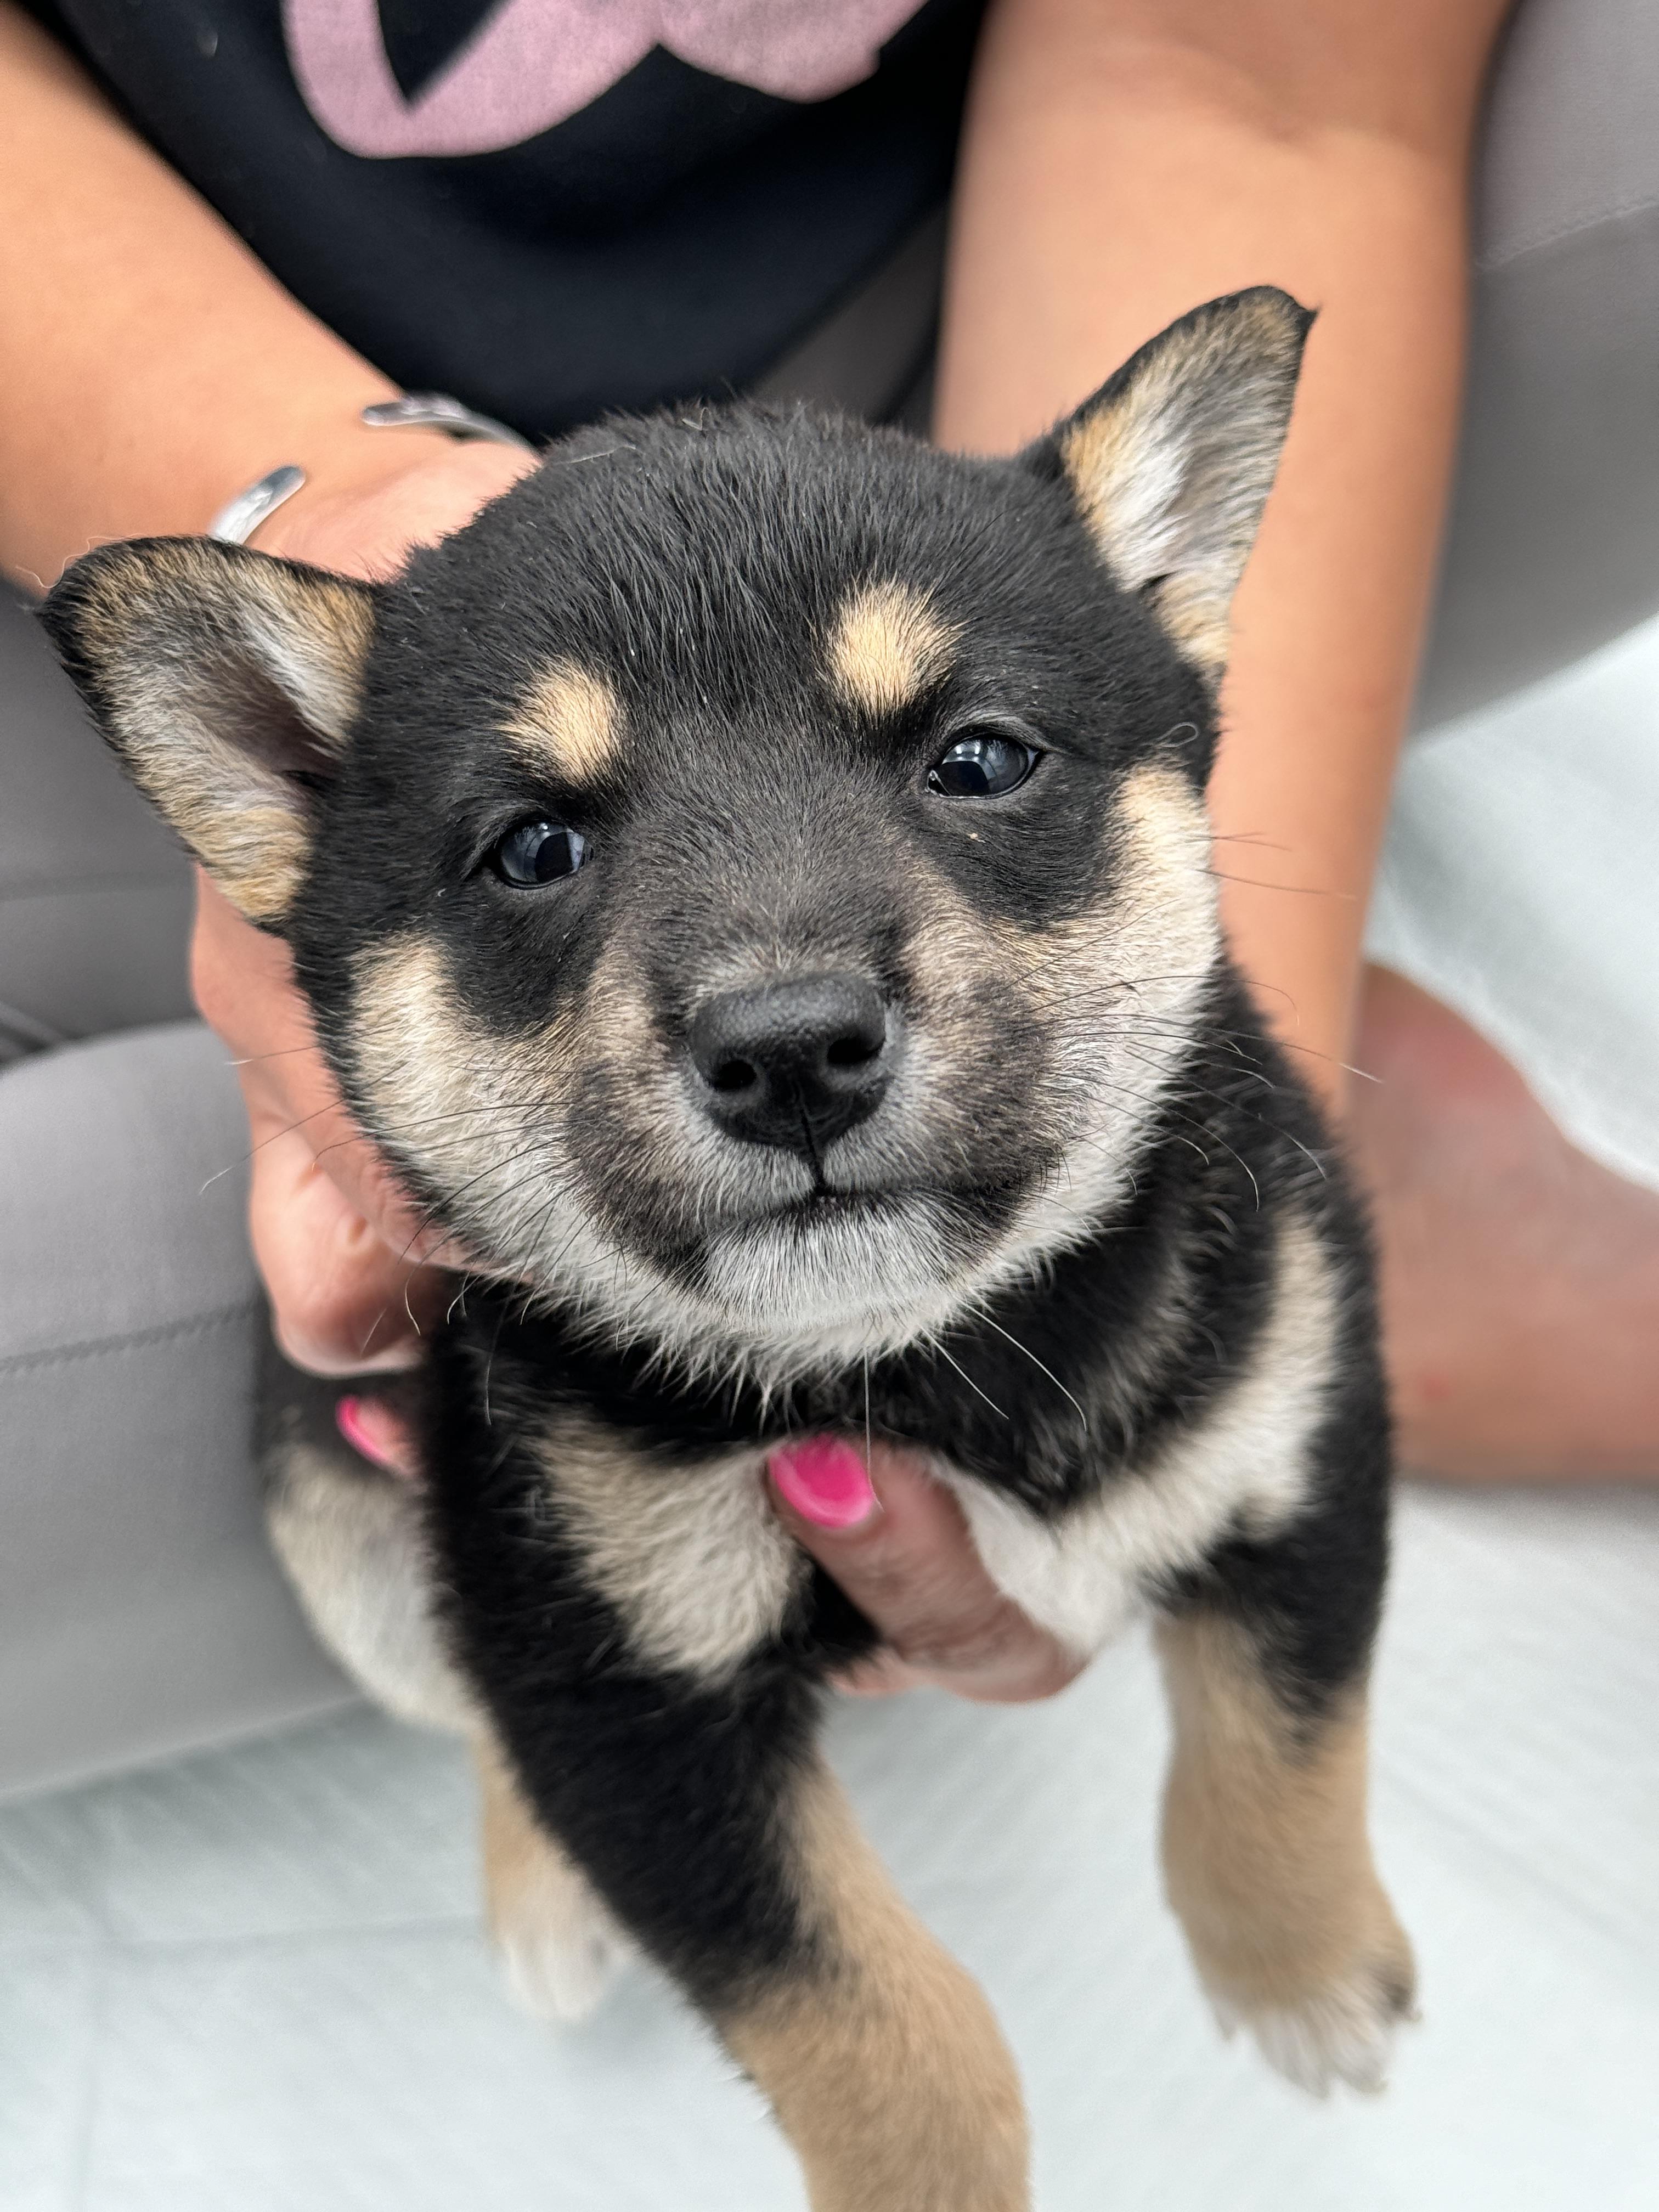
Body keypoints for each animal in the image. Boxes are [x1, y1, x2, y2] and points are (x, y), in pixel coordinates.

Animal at [42, 287, 1415, 2211]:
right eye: (534, 848)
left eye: (979, 757)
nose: (789, 1050)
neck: (924, 1365)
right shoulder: (613, 1690)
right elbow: (872, 2025)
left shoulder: (1299, 1412)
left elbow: (1286, 1729)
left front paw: (1303, 1976)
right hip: (349, 1540)